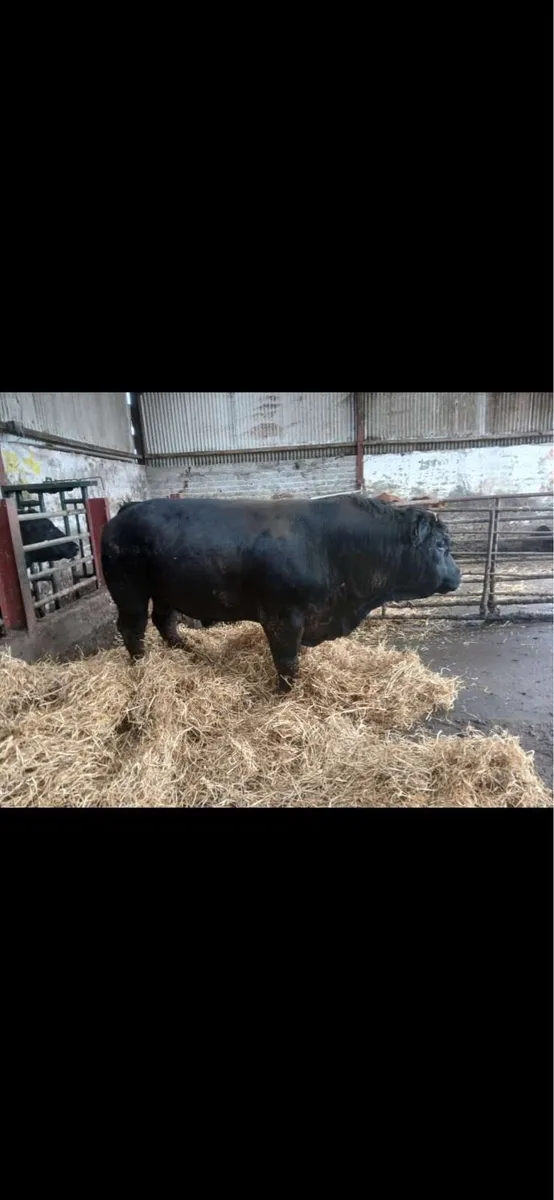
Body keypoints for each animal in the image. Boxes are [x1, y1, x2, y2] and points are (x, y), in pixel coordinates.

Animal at [101, 494, 461, 691]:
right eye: (440, 546)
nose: (457, 575)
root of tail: (127, 510)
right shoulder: (282, 617)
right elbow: (286, 661)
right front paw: (283, 693)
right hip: (129, 591)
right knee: (132, 628)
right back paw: (141, 664)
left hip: (164, 590)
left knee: (164, 620)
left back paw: (188, 650)